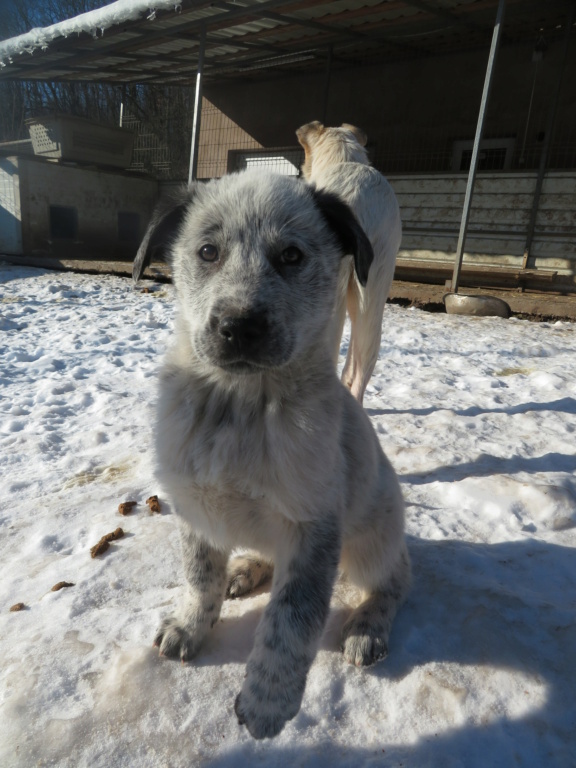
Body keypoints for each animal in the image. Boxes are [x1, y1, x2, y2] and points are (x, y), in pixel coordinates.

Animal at [132, 170, 410, 736]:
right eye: (208, 251)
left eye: (291, 256)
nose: (239, 326)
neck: (241, 405)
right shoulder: (193, 505)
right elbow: (200, 576)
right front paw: (191, 626)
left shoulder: (312, 525)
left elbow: (290, 620)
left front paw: (267, 702)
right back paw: (245, 570)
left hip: (372, 540)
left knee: (398, 577)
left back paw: (368, 627)